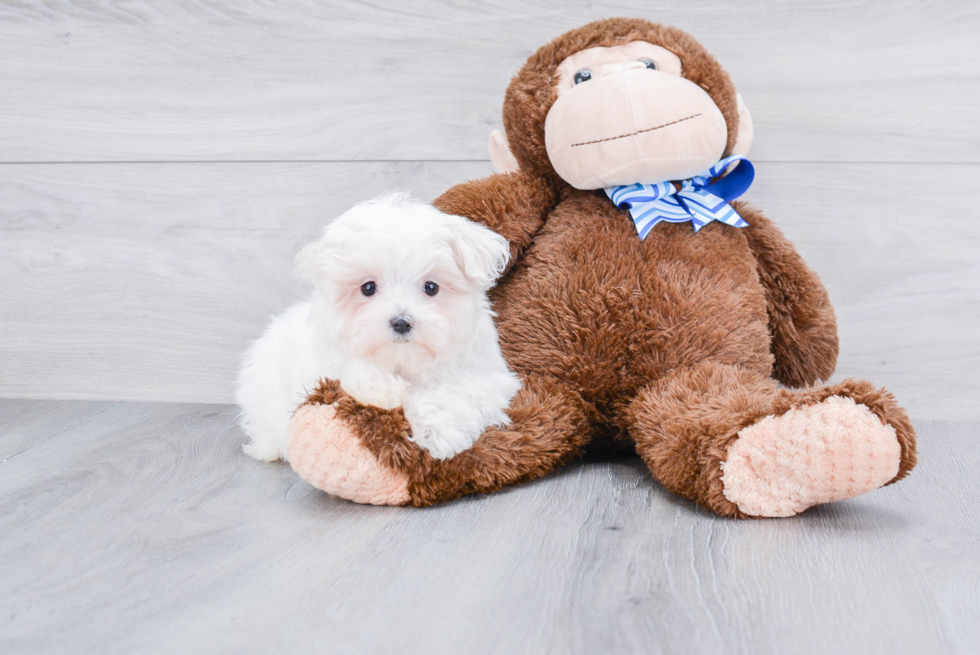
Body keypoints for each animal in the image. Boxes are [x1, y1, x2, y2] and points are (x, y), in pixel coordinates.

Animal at [235, 193, 520, 462]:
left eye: (431, 287)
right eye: (368, 288)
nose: (401, 321)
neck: (402, 361)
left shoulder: (487, 379)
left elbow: (457, 392)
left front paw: (440, 430)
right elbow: (364, 378)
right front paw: (388, 391)